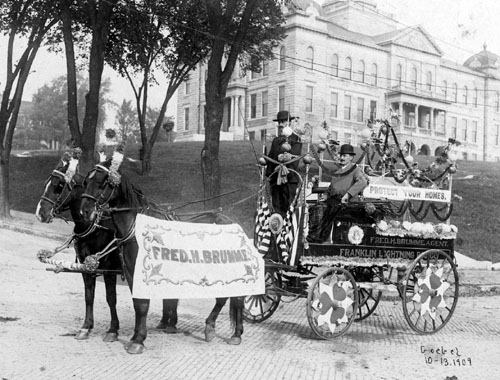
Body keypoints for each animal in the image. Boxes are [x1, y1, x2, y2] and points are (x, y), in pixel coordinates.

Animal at [35, 154, 180, 342]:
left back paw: (171, 323)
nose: (40, 213)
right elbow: (89, 297)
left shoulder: (108, 269)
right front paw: (86, 327)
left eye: (59, 186)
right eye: (47, 183)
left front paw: (113, 330)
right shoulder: (86, 267)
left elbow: (111, 298)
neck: (94, 228)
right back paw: (165, 321)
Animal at [80, 160, 244, 354]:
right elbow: (137, 304)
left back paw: (235, 334)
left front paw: (138, 340)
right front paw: (135, 336)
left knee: (236, 297)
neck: (137, 228)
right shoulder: (130, 273)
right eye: (85, 182)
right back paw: (211, 327)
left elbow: (142, 305)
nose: (84, 211)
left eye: (102, 182)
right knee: (224, 297)